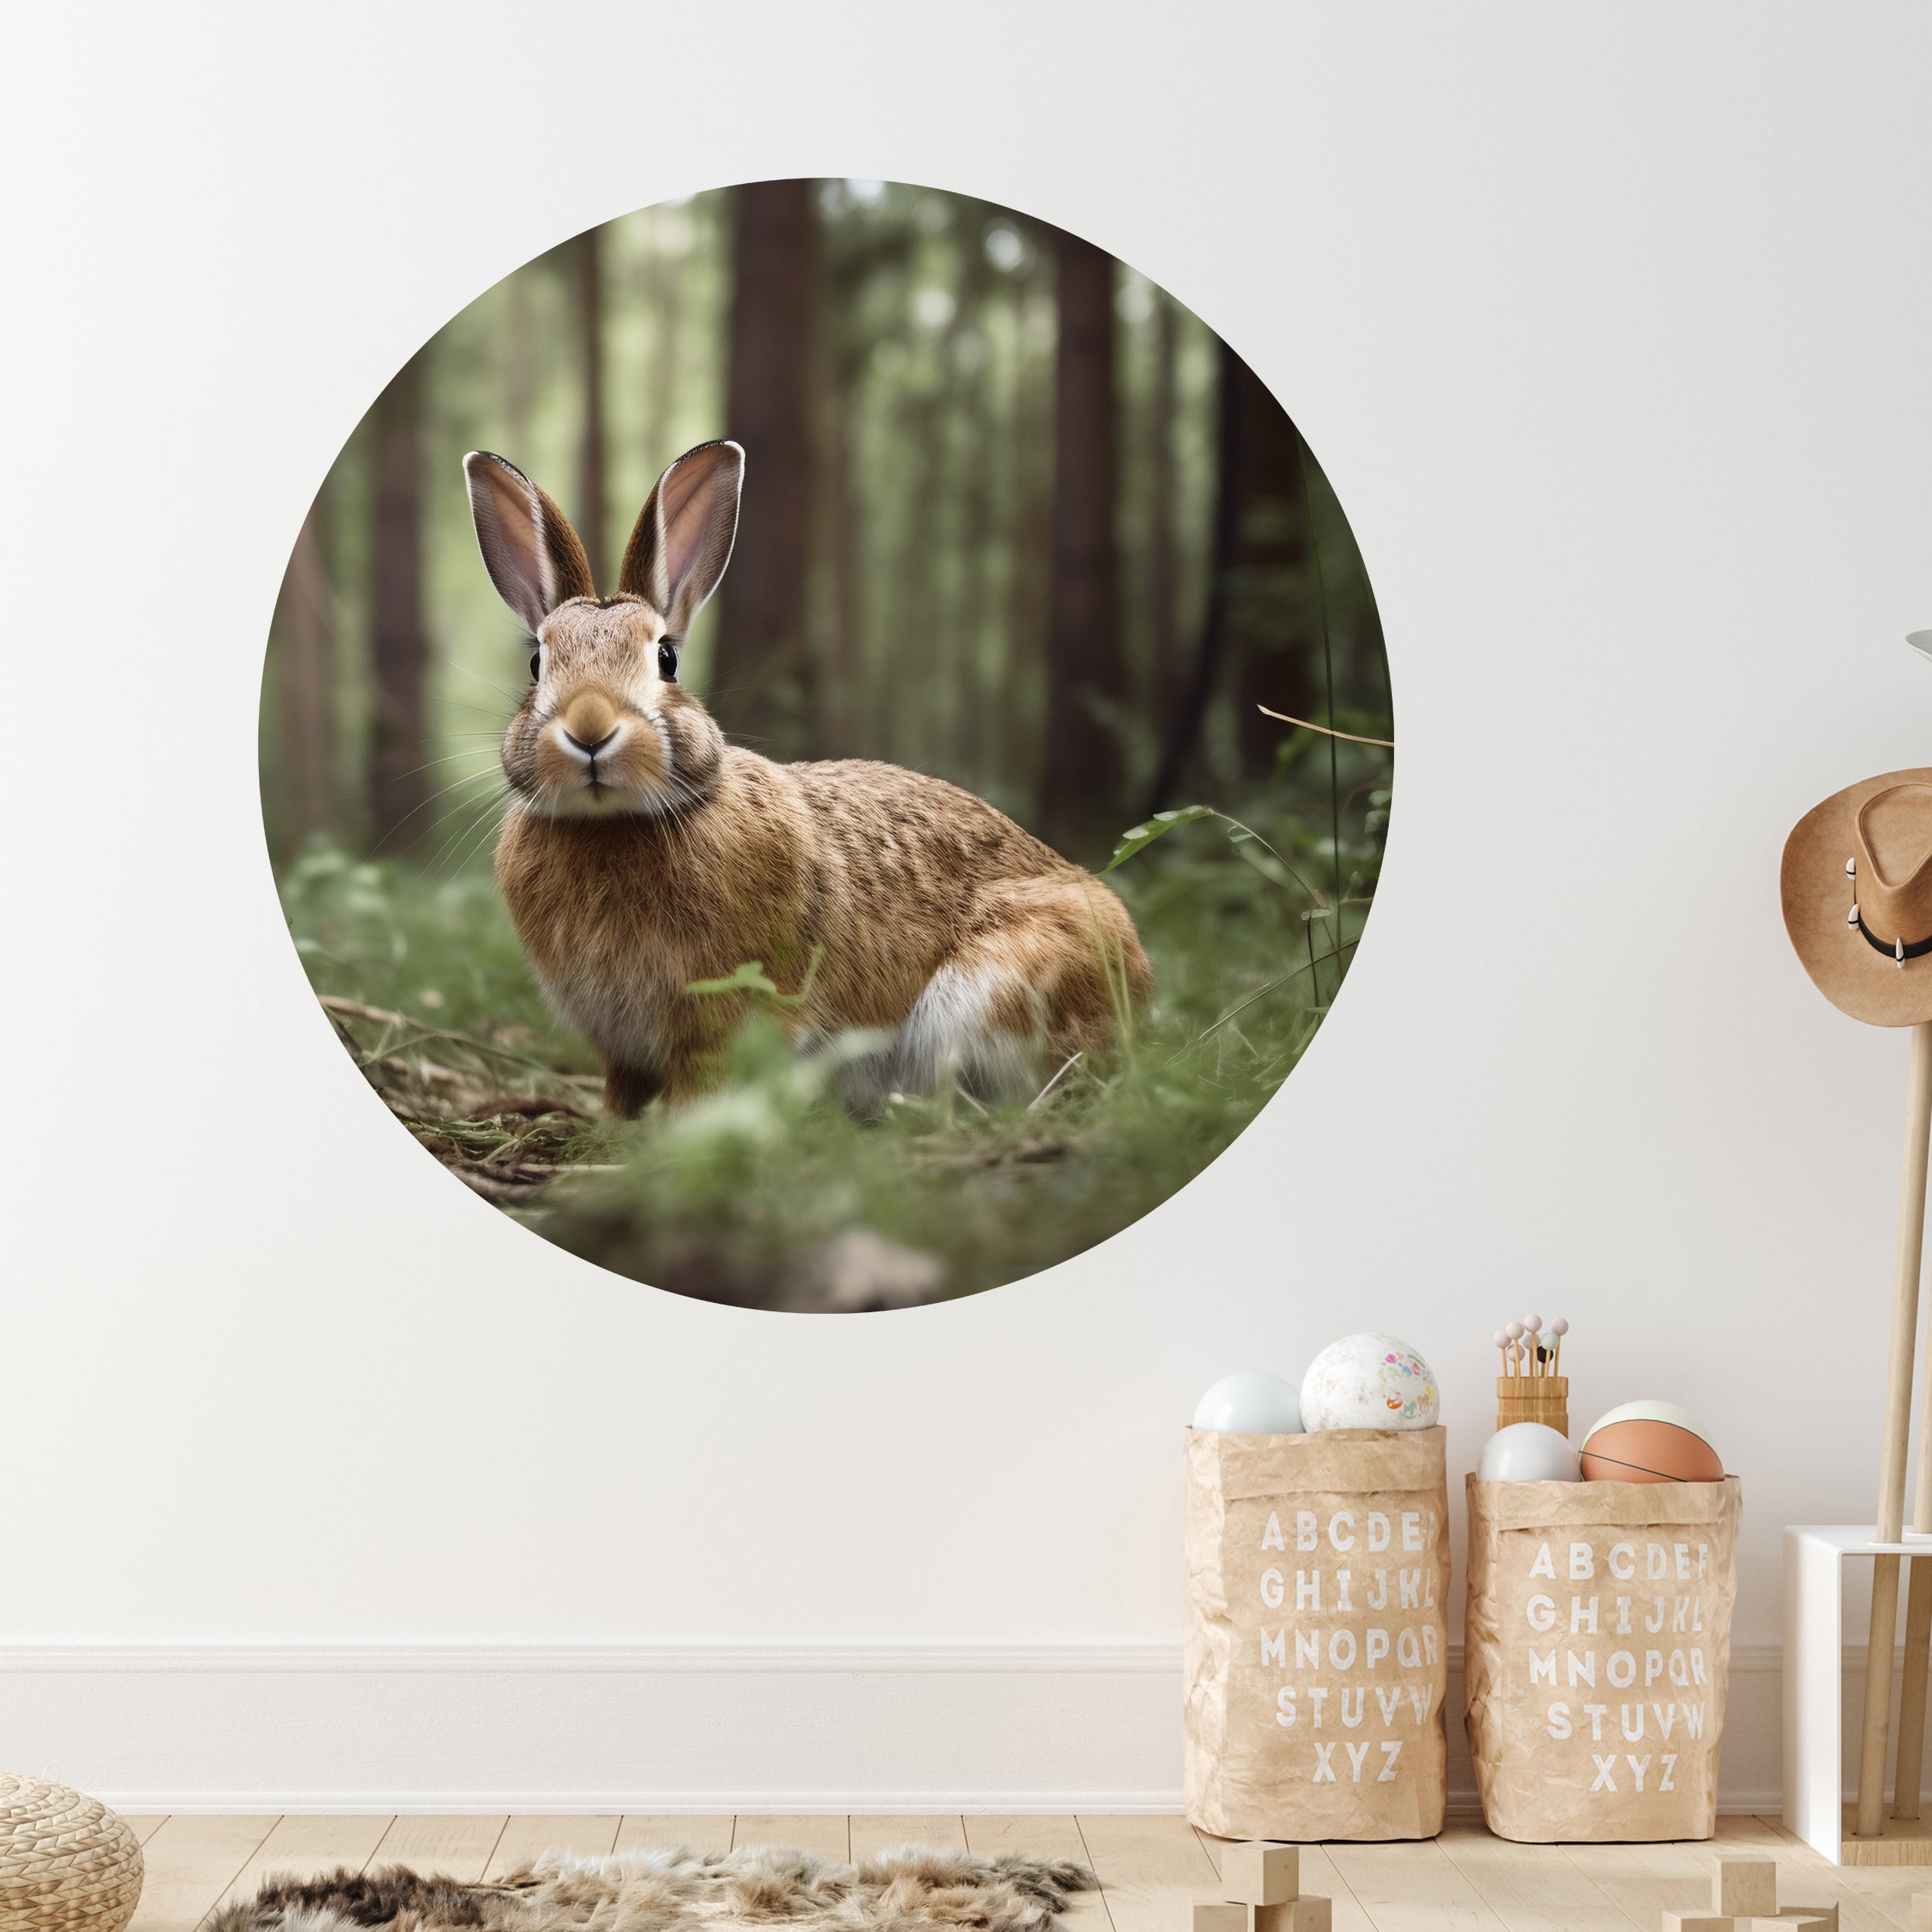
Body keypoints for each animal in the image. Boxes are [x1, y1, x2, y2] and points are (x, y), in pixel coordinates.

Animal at [462, 437, 1151, 1117]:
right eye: (537, 663)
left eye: (667, 658)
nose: (590, 727)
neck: (616, 822)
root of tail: (1137, 988)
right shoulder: (621, 1047)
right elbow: (624, 1092)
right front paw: (615, 1133)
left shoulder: (728, 1015)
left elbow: (702, 1090)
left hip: (992, 993)